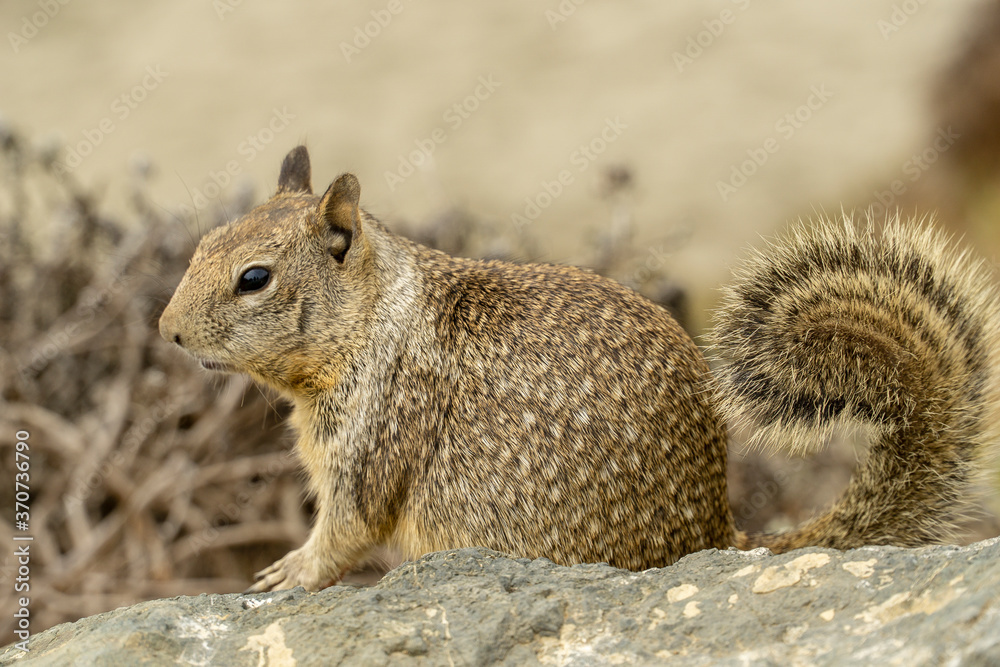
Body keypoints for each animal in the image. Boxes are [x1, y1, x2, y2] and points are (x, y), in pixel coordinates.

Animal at [159, 146, 1000, 592]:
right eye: (201, 244)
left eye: (254, 278)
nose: (165, 330)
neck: (371, 319)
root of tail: (715, 534)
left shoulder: (371, 444)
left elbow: (344, 531)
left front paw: (289, 572)